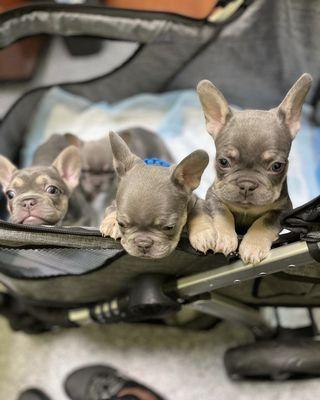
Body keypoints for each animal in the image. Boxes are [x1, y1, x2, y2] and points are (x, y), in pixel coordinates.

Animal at [198, 73, 312, 264]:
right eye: (223, 162)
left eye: (277, 166)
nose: (246, 184)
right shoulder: (214, 196)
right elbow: (223, 213)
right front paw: (224, 237)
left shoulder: (283, 210)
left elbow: (264, 222)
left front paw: (253, 245)